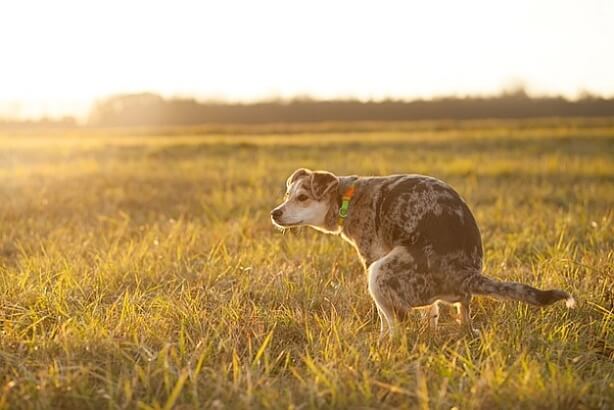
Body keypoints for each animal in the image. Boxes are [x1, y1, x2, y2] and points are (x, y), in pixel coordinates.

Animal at [270, 168, 576, 338]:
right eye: (287, 195)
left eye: (302, 197)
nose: (275, 213)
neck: (348, 197)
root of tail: (465, 273)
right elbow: (432, 313)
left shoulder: (372, 258)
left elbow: (384, 318)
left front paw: (381, 340)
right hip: (452, 296)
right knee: (462, 314)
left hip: (380, 272)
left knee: (398, 324)